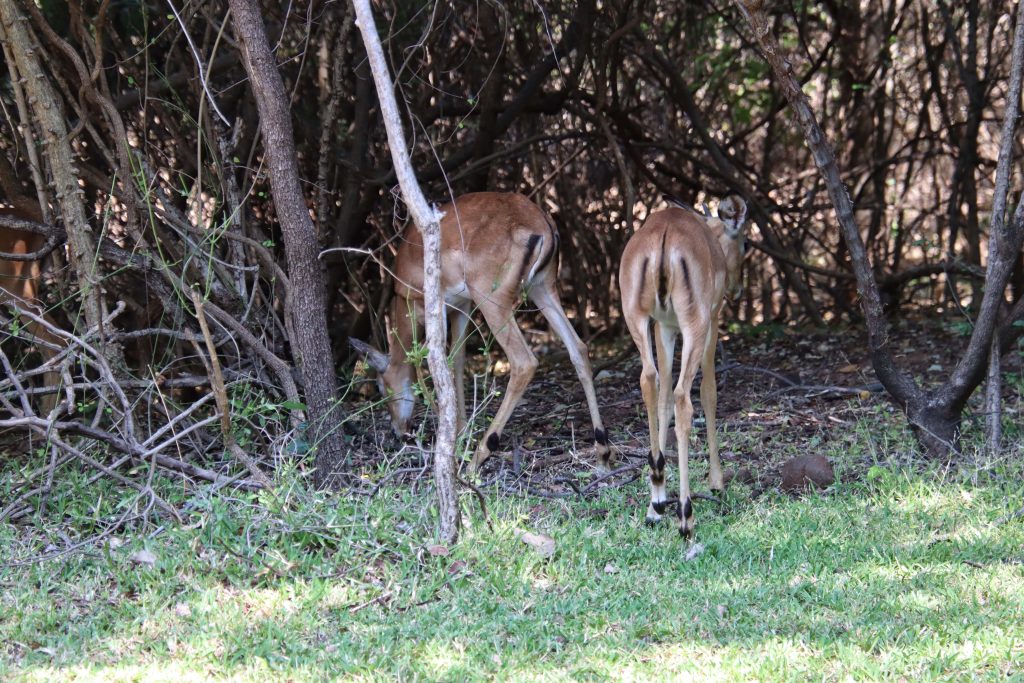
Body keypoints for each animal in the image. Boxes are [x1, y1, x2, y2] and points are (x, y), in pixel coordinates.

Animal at [352, 189, 606, 473]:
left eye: (380, 387)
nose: (399, 431)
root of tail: (541, 225)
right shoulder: (461, 307)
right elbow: (457, 360)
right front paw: (462, 432)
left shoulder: (432, 306)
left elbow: (431, 361)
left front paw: (451, 436)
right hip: (542, 288)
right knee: (579, 349)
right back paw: (603, 452)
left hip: (493, 300)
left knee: (524, 362)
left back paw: (478, 457)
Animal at [618, 196, 749, 540]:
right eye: (744, 242)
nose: (738, 289)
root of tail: (664, 236)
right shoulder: (711, 322)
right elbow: (709, 392)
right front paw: (717, 483)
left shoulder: (664, 327)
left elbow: (662, 398)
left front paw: (656, 504)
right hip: (695, 325)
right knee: (683, 398)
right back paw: (686, 516)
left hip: (637, 319)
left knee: (649, 381)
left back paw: (657, 493)